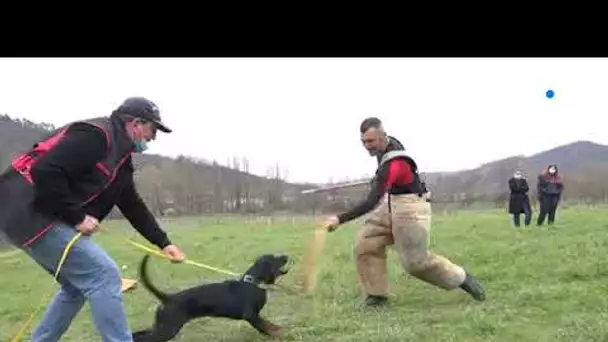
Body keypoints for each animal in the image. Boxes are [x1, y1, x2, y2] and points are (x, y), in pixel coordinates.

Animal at [132, 252, 292, 340]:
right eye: (275, 258)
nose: (286, 255)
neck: (252, 282)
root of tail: (167, 297)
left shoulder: (255, 316)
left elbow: (269, 324)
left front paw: (278, 329)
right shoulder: (250, 315)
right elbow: (265, 327)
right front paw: (278, 335)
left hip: (160, 326)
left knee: (137, 335)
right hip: (167, 329)